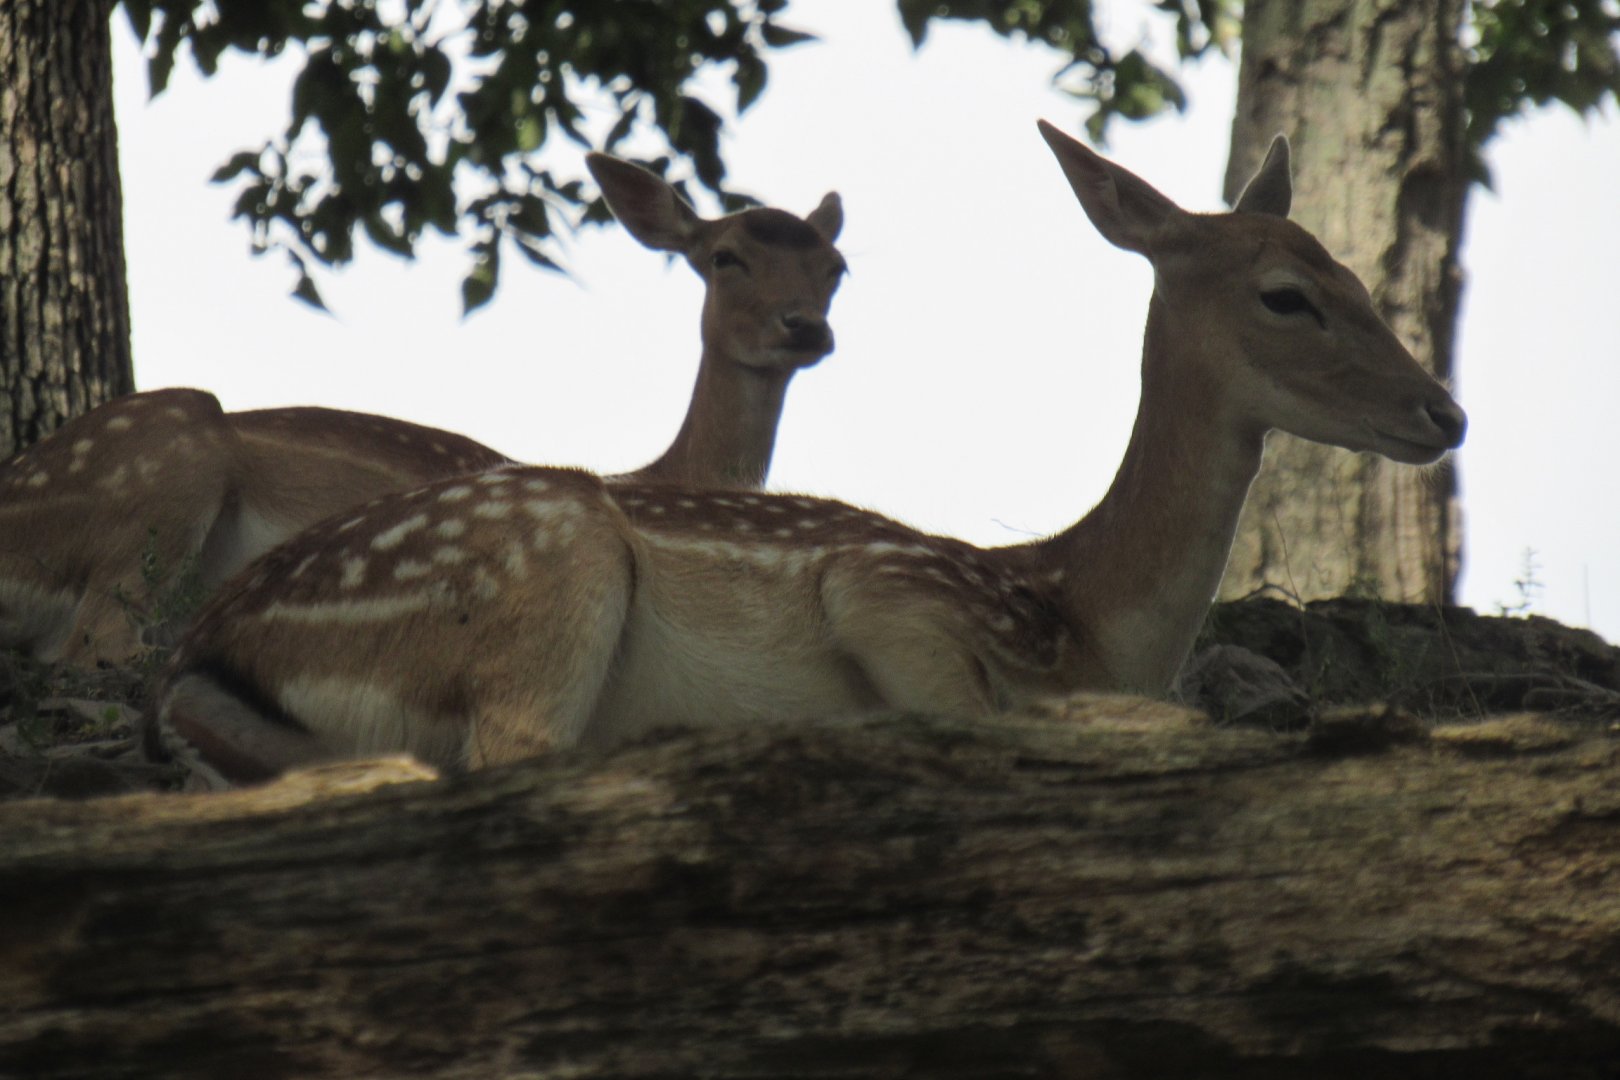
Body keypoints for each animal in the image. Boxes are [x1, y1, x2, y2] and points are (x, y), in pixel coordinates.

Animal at [0, 157, 846, 667]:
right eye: (725, 256)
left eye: (836, 267)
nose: (806, 327)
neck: (652, 475)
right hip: (164, 466)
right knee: (90, 645)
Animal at [150, 123, 1465, 788]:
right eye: (1290, 293)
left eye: (1361, 274)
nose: (1446, 415)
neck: (1084, 617)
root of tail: (208, 646)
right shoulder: (892, 589)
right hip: (549, 562)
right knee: (514, 750)